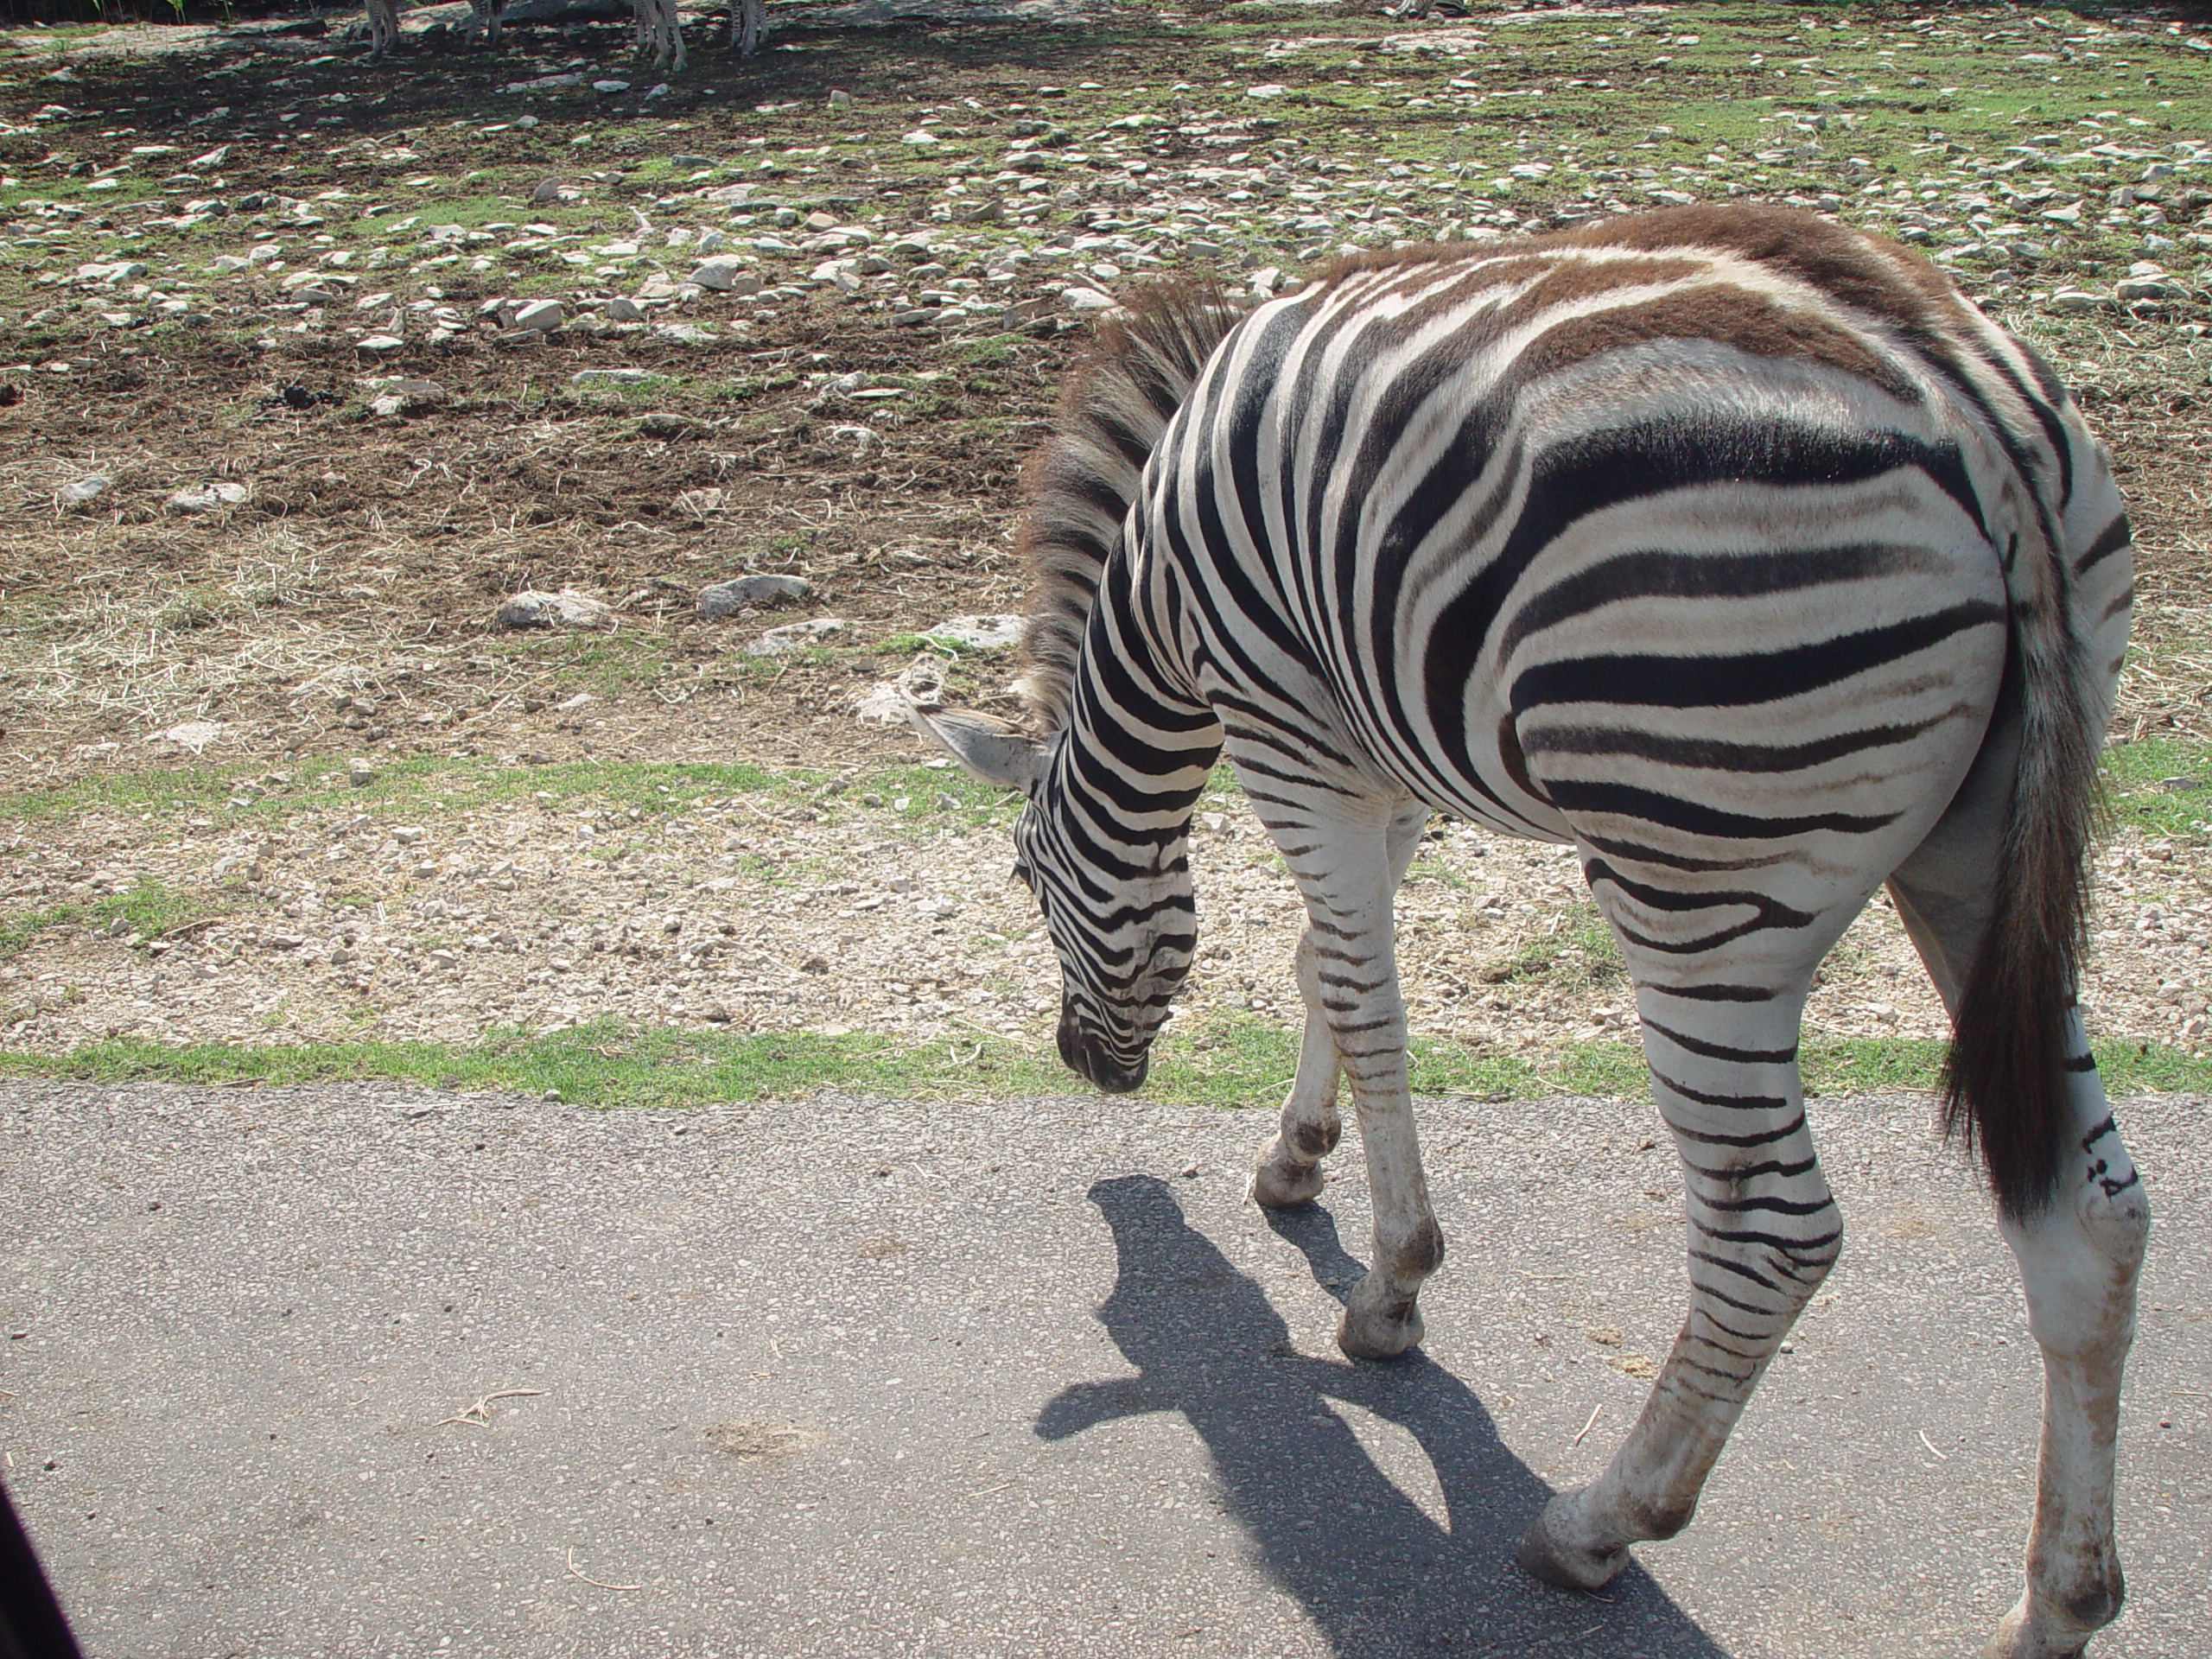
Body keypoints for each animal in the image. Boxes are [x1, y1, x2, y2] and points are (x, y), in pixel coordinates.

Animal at [906, 207, 2150, 1659]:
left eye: (1023, 878)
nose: (1085, 1069)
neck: (1162, 595)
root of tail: (1962, 391)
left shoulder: (1291, 739)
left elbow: (1363, 996)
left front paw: (1391, 1292)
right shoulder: (1377, 759)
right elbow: (1324, 969)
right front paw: (1295, 1163)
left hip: (1702, 875)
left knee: (1771, 1235)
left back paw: (1599, 1523)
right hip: (1981, 851)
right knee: (2093, 1217)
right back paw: (2059, 1601)